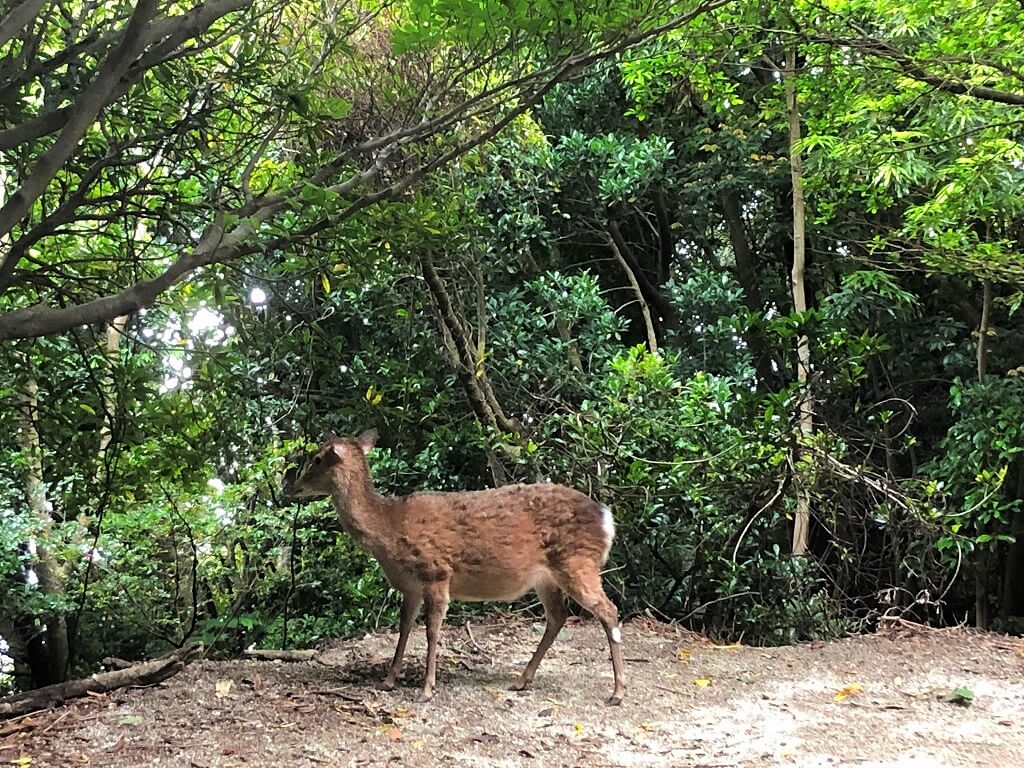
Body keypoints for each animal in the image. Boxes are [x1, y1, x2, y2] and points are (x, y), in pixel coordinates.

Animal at [284, 430, 626, 708]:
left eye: (316, 458)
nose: (291, 485)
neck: (388, 530)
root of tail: (607, 519)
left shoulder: (436, 572)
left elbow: (432, 631)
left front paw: (426, 689)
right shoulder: (410, 585)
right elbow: (404, 627)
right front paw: (389, 680)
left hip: (576, 562)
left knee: (608, 610)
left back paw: (617, 692)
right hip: (546, 577)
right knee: (558, 616)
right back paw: (521, 680)